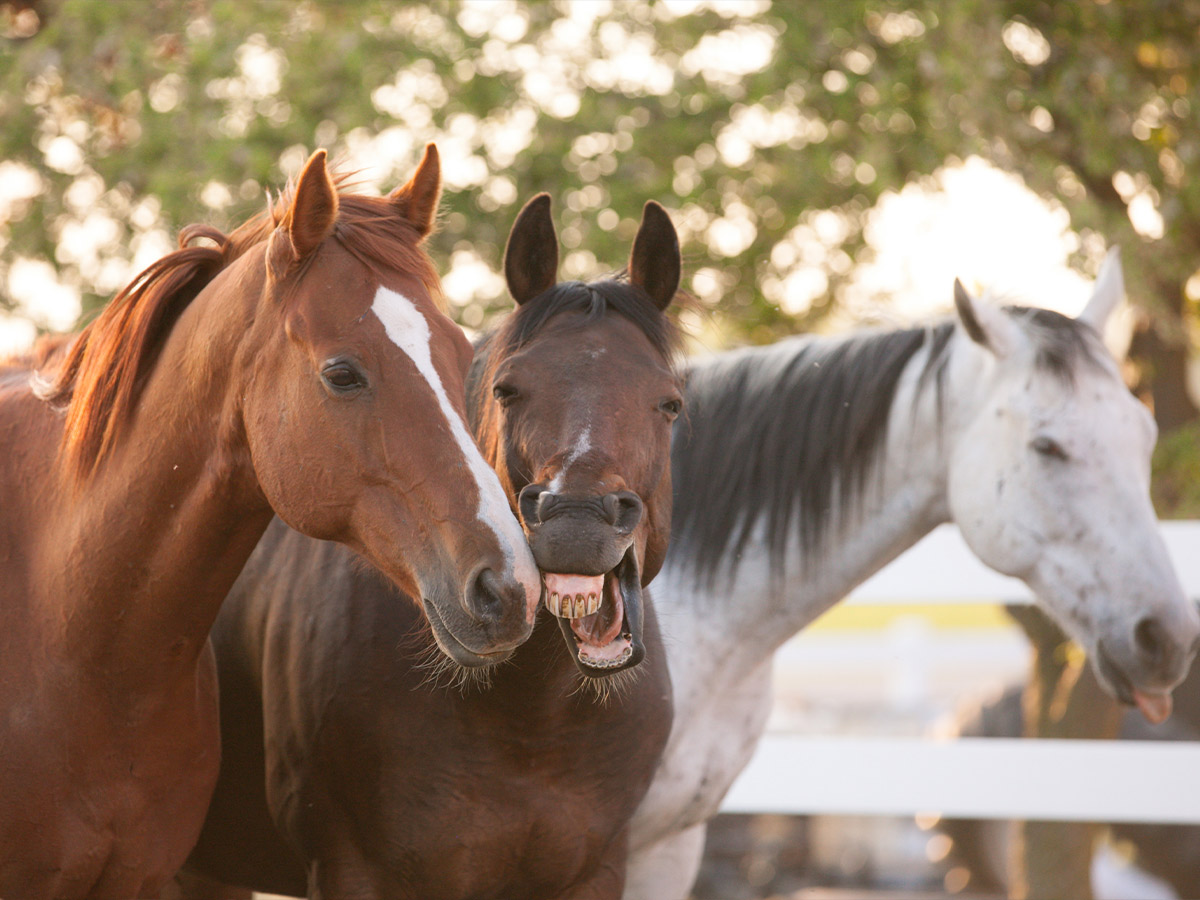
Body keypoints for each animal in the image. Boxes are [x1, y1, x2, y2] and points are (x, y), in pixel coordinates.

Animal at [180, 194, 684, 899]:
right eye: (506, 389)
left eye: (669, 402)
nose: (576, 522)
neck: (533, 723)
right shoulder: (352, 869)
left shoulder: (598, 870)